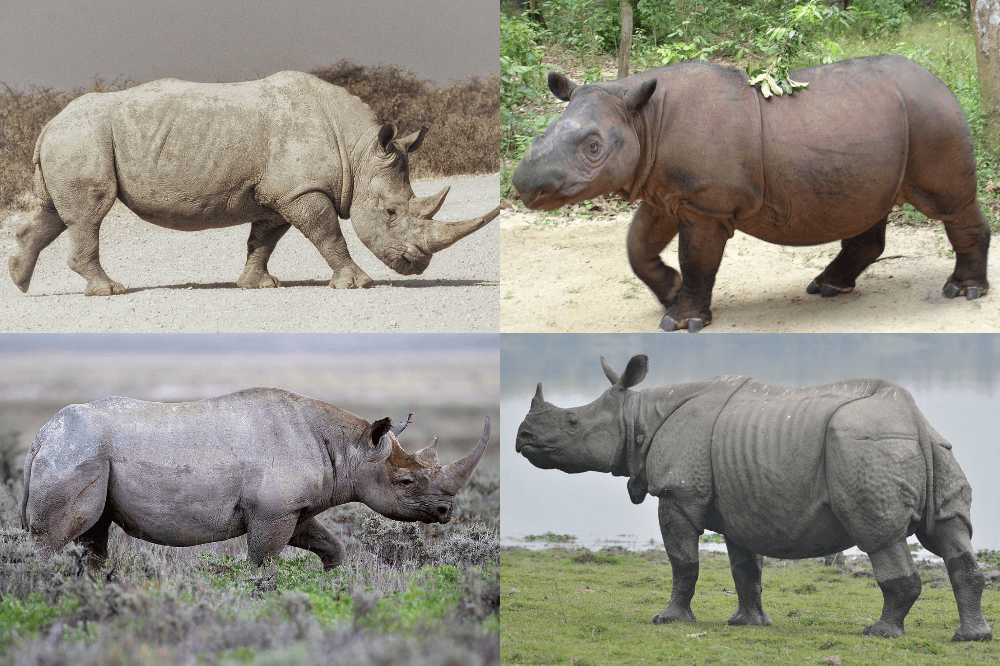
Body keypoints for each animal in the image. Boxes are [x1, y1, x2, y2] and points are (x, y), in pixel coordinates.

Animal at [8, 71, 500, 296]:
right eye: (392, 212)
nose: (417, 265)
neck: (358, 152)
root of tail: (47, 125)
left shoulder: (278, 193)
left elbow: (264, 239)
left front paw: (258, 285)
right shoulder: (302, 190)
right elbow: (329, 234)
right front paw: (358, 283)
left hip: (74, 140)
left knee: (56, 212)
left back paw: (19, 280)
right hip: (81, 138)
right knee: (89, 213)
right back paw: (110, 291)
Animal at [21, 388, 490, 570]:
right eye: (406, 483)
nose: (445, 511)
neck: (351, 447)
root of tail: (42, 435)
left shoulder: (291, 508)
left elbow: (330, 544)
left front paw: (334, 581)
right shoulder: (272, 511)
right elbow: (263, 562)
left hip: (82, 451)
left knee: (93, 536)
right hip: (77, 451)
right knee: (56, 537)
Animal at [512, 56, 991, 331]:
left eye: (593, 148)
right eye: (542, 134)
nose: (523, 185)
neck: (642, 118)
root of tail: (941, 82)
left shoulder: (705, 203)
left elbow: (697, 259)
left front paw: (681, 322)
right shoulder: (665, 191)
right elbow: (637, 246)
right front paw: (670, 292)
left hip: (932, 116)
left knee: (950, 204)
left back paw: (962, 292)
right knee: (867, 208)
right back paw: (827, 288)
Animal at [515, 354, 992, 641]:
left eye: (572, 423)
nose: (522, 438)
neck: (638, 417)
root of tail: (912, 419)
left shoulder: (679, 492)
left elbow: (683, 562)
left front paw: (668, 619)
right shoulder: (741, 500)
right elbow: (745, 568)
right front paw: (747, 624)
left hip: (864, 447)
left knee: (879, 536)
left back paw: (880, 633)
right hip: (932, 448)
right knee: (949, 533)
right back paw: (972, 638)